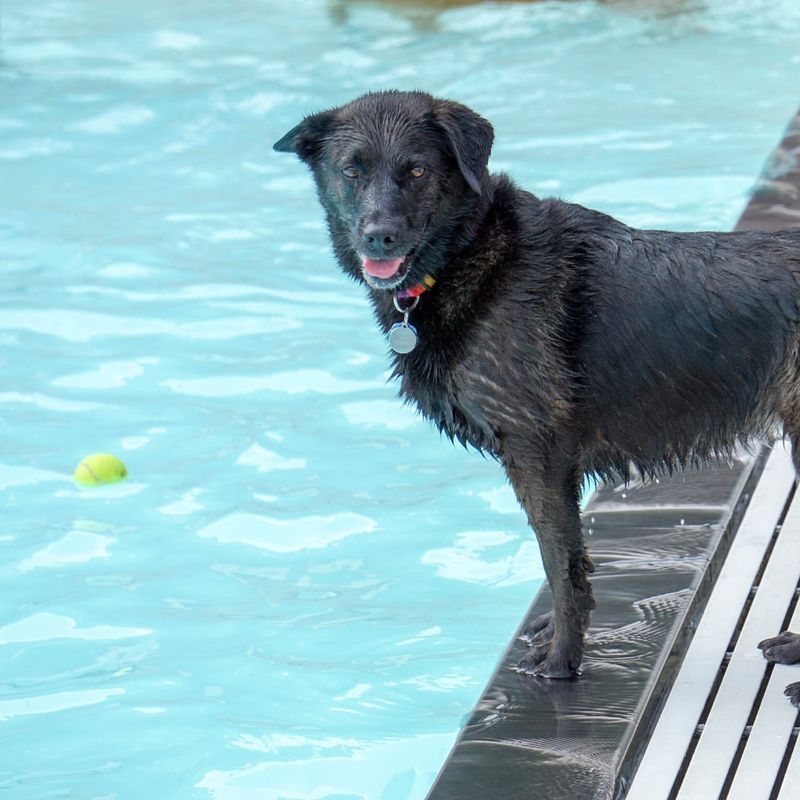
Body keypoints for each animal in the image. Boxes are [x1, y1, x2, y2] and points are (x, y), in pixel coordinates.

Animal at [276, 89, 800, 708]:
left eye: (418, 170)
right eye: (352, 170)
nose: (377, 236)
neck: (473, 255)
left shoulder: (537, 454)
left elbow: (560, 566)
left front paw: (562, 662)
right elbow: (567, 565)